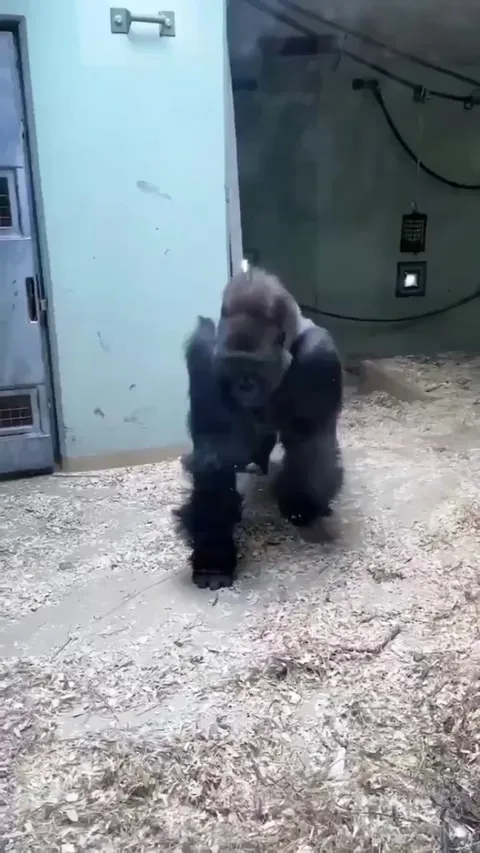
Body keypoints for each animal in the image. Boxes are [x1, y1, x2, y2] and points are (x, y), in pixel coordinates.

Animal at [174, 267, 343, 591]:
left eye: (255, 367)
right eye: (232, 366)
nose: (244, 385)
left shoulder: (320, 355)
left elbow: (309, 443)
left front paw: (302, 506)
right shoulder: (205, 350)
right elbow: (214, 451)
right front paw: (213, 556)